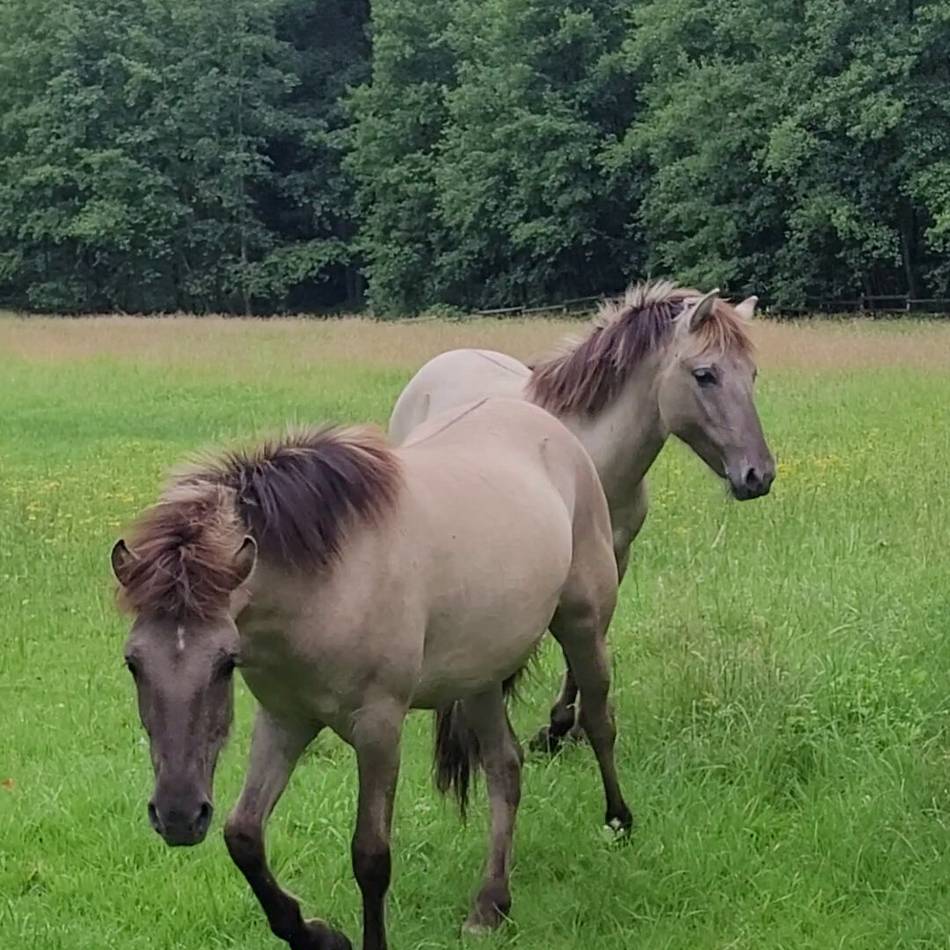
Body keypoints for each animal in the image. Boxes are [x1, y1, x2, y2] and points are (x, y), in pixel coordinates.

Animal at [111, 396, 632, 950]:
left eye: (225, 661)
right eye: (133, 662)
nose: (179, 816)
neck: (328, 580)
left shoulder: (379, 726)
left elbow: (371, 856)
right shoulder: (284, 718)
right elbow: (243, 836)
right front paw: (318, 935)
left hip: (582, 625)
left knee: (599, 719)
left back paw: (618, 821)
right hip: (480, 677)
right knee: (504, 767)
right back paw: (489, 905)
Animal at [389, 281, 776, 751]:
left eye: (752, 374)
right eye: (705, 375)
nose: (758, 476)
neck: (591, 455)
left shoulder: (612, 560)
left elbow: (589, 645)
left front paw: (564, 727)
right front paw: (553, 725)